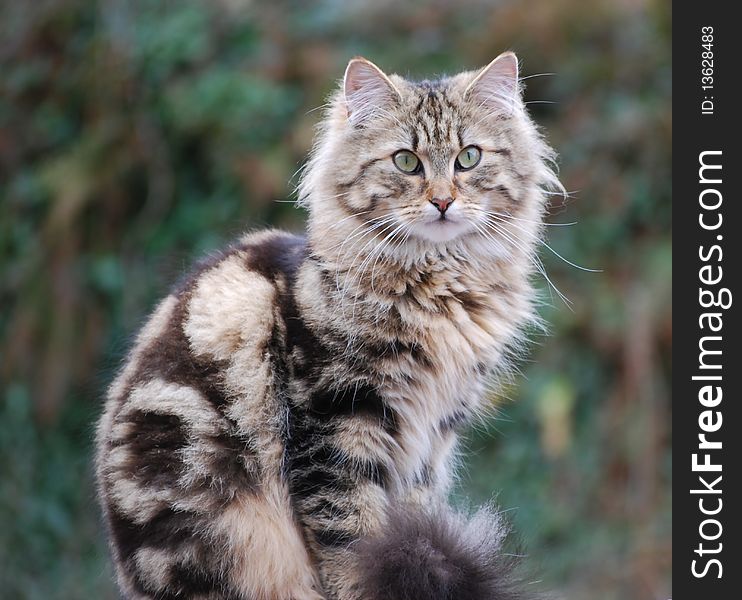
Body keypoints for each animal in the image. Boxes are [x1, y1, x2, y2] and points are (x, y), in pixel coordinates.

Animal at [96, 52, 560, 600]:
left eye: (468, 158)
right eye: (407, 161)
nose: (443, 201)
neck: (439, 291)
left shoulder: (430, 443)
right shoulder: (334, 422)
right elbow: (352, 543)